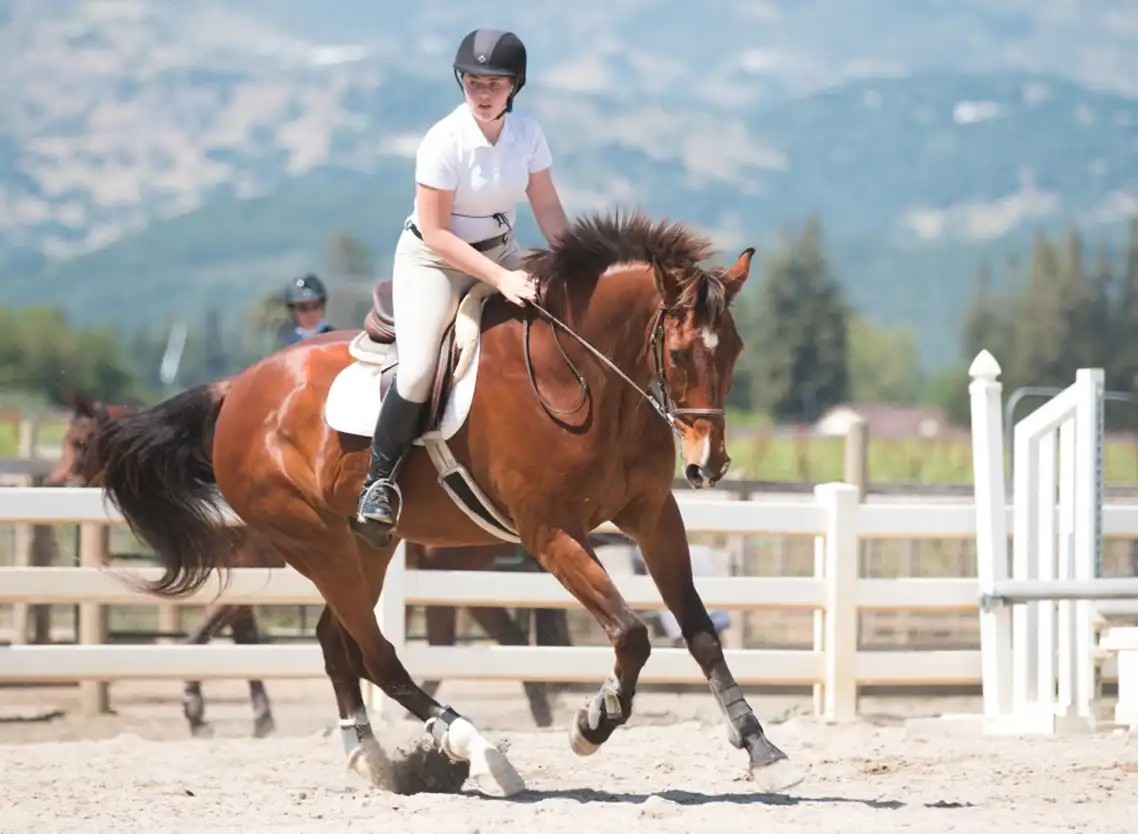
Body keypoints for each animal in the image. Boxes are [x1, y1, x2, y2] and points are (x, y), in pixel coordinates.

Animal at [48, 393, 573, 732]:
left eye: (80, 442)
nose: (58, 484)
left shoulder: (251, 571)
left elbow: (216, 627)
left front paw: (195, 704)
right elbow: (242, 635)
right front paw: (257, 715)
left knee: (495, 635)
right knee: (479, 637)